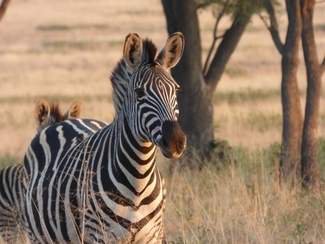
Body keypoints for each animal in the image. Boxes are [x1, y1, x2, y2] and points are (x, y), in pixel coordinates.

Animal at [22, 32, 186, 244]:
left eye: (176, 90)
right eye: (139, 93)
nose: (176, 142)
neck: (138, 182)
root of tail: (59, 123)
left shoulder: (153, 236)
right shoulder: (100, 235)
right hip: (38, 234)